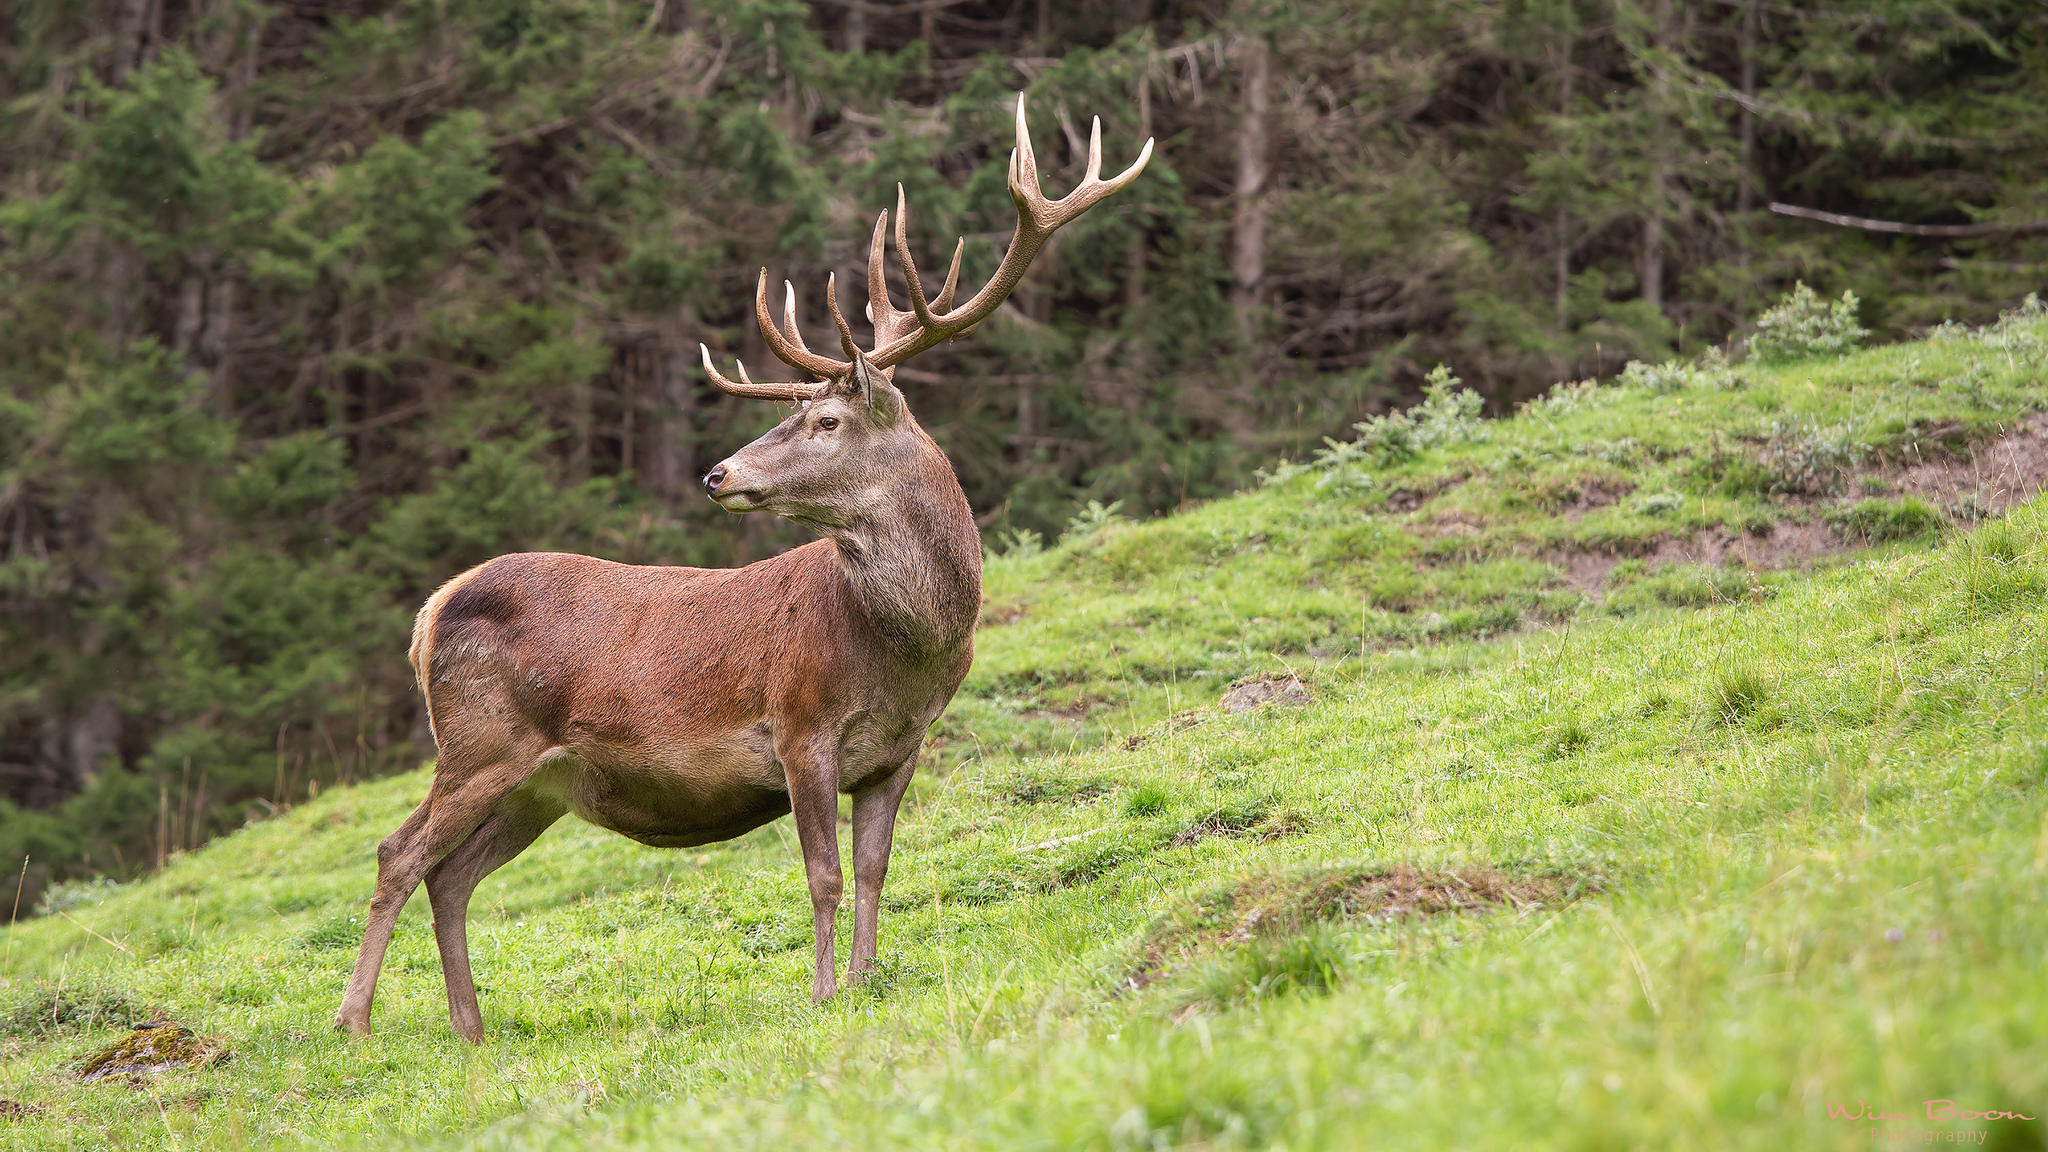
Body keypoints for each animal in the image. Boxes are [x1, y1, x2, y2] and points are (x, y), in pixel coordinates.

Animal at [327, 91, 1146, 1041]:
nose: (718, 474)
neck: (907, 649)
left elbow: (875, 868)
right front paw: (825, 992)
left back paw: (470, 1028)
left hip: (542, 783)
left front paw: (865, 979)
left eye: (825, 421)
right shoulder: (798, 724)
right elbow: (823, 873)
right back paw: (353, 1023)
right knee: (399, 852)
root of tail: (432, 611)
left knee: (450, 874)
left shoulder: (901, 750)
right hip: (479, 738)